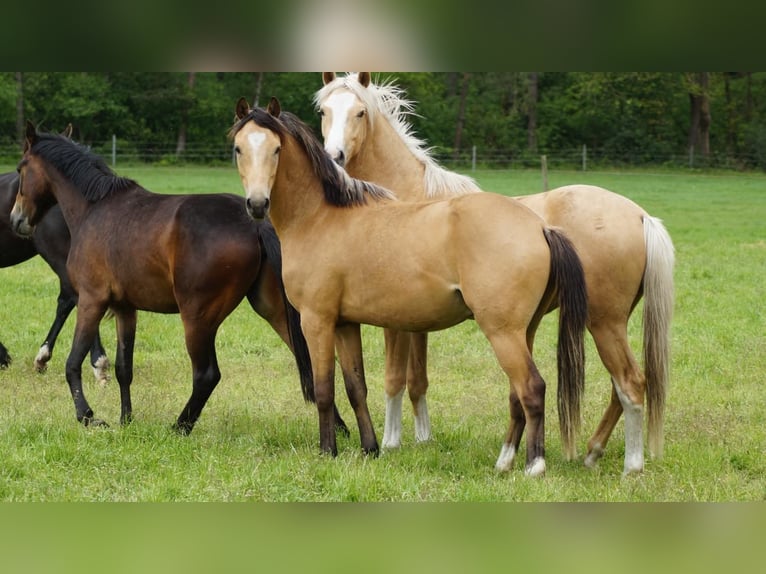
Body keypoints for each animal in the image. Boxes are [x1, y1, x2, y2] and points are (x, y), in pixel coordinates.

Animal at [230, 97, 588, 477]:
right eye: (238, 148)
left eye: (276, 149)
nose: (257, 204)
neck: (320, 217)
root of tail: (539, 227)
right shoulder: (345, 324)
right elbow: (356, 387)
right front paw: (370, 448)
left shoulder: (317, 321)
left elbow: (325, 388)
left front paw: (328, 451)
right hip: (524, 332)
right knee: (516, 394)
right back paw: (505, 460)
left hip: (503, 333)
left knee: (532, 389)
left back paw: (534, 465)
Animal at [315, 72, 675, 475]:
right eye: (324, 110)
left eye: (360, 112)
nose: (335, 157)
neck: (410, 198)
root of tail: (640, 215)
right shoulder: (418, 321)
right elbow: (418, 380)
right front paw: (423, 437)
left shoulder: (397, 322)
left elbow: (394, 379)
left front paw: (392, 442)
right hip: (609, 324)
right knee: (621, 387)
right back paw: (593, 451)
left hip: (603, 322)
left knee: (630, 383)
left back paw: (631, 464)